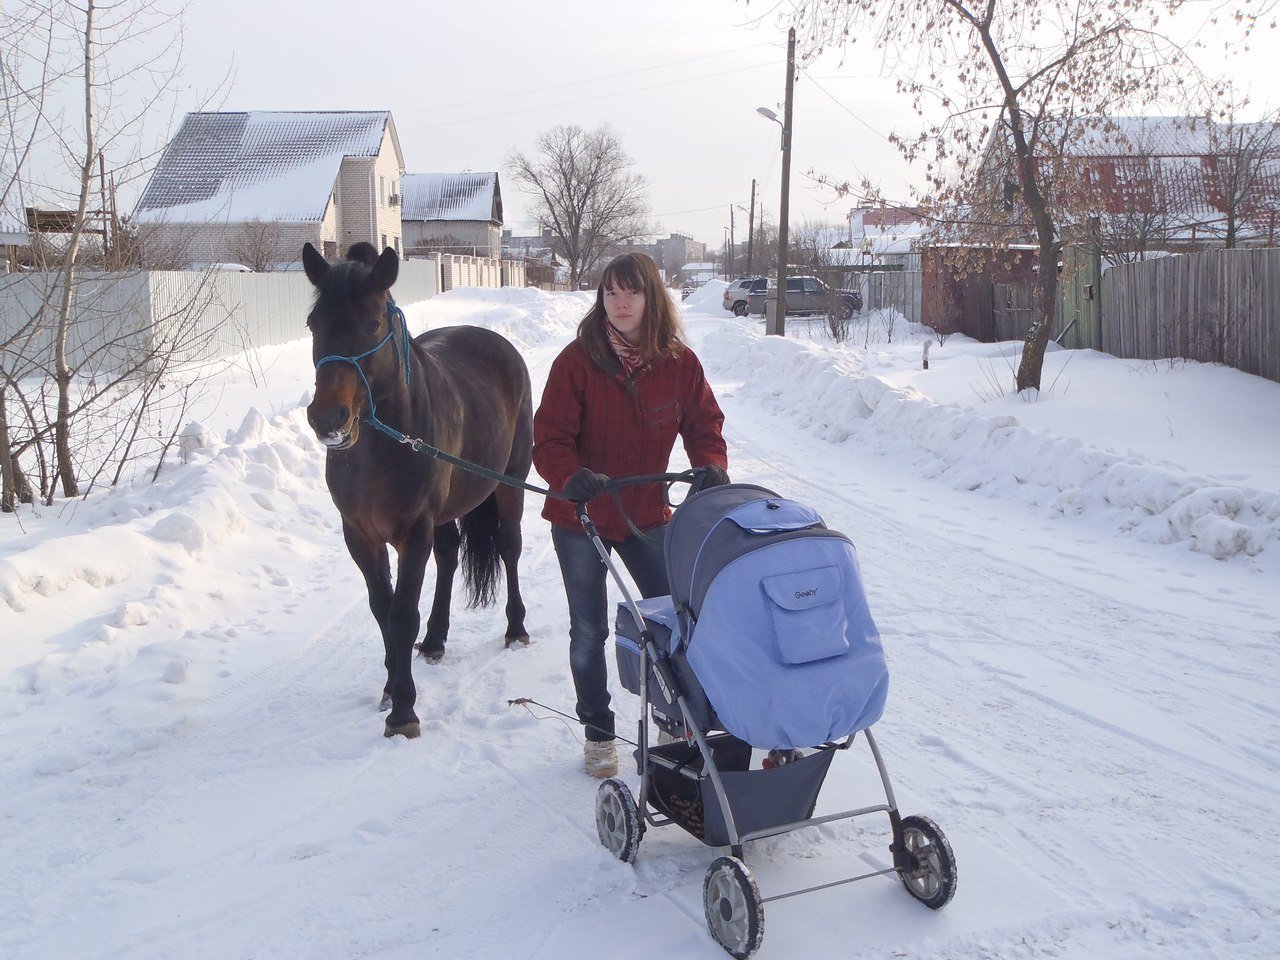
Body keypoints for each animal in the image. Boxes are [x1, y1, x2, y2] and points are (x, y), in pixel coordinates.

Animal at [302, 244, 532, 742]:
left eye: (373, 324)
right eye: (313, 323)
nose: (328, 418)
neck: (381, 446)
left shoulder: (413, 533)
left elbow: (401, 615)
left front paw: (404, 710)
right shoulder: (360, 536)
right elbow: (382, 610)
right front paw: (391, 686)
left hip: (511, 482)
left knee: (509, 546)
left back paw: (516, 628)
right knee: (448, 555)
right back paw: (435, 639)